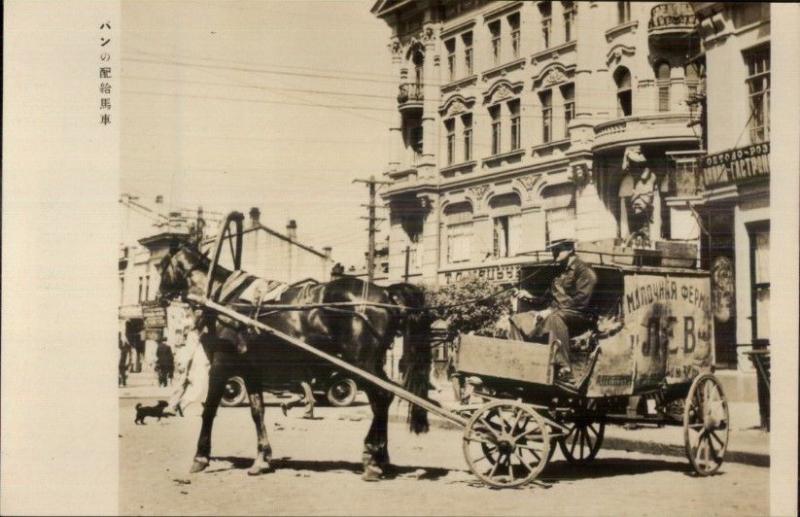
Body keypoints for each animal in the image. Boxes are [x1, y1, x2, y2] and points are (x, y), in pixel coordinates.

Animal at [156, 242, 432, 480]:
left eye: (162, 265)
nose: (159, 295)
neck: (221, 297)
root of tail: (385, 292)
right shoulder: (251, 370)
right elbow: (257, 411)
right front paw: (262, 459)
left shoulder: (222, 364)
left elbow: (210, 409)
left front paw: (201, 457)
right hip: (372, 363)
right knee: (384, 399)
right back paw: (380, 457)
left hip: (362, 363)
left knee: (380, 398)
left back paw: (373, 459)